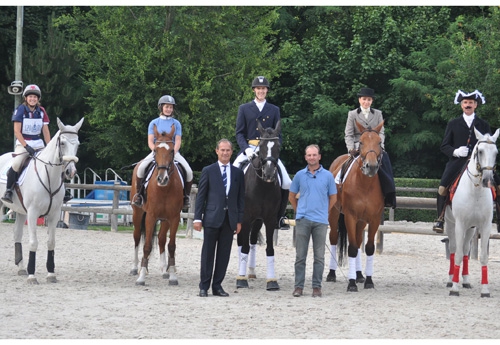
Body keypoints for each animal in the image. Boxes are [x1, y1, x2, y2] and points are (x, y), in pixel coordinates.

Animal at [0, 117, 84, 284]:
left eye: (77, 144)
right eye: (62, 143)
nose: (71, 171)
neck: (49, 176)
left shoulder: (54, 214)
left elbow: (51, 242)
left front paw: (51, 274)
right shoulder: (33, 213)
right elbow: (34, 242)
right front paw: (32, 276)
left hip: (21, 212)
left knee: (17, 234)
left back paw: (21, 268)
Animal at [130, 123, 183, 284]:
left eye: (172, 151)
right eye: (155, 150)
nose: (162, 179)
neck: (164, 189)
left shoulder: (174, 218)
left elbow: (171, 246)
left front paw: (172, 276)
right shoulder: (151, 216)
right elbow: (146, 246)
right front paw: (141, 277)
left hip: (165, 219)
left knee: (160, 239)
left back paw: (164, 270)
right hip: (138, 212)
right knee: (136, 237)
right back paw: (134, 268)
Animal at [237, 119, 284, 288]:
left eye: (278, 147)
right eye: (262, 146)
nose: (269, 174)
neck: (262, 186)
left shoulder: (269, 219)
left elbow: (270, 249)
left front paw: (272, 281)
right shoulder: (245, 218)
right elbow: (243, 247)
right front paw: (241, 280)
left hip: (257, 220)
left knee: (252, 241)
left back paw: (250, 271)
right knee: (241, 243)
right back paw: (241, 272)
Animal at [326, 120, 384, 290]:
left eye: (379, 142)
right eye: (362, 142)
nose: (371, 166)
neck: (365, 184)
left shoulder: (374, 219)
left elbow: (368, 248)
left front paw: (368, 281)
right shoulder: (350, 217)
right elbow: (351, 249)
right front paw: (351, 284)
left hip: (361, 221)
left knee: (358, 242)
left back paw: (359, 275)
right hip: (334, 214)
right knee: (334, 238)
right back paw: (331, 274)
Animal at [446, 126, 500, 296]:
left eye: (496, 152)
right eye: (480, 151)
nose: (488, 180)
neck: (475, 190)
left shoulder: (485, 226)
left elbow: (483, 256)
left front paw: (485, 290)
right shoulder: (459, 224)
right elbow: (456, 255)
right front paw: (454, 288)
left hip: (471, 228)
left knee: (465, 251)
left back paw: (465, 281)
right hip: (451, 225)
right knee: (453, 250)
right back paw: (451, 280)